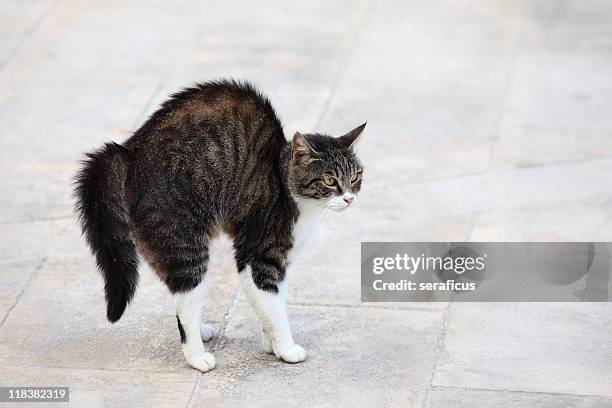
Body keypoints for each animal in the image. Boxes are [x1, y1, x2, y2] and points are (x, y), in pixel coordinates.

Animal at [74, 78, 366, 372]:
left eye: (355, 176)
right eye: (329, 181)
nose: (349, 198)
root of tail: (130, 151)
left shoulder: (282, 262)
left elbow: (274, 304)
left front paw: (271, 345)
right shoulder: (257, 255)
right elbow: (273, 308)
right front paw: (286, 348)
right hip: (185, 245)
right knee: (186, 303)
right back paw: (197, 356)